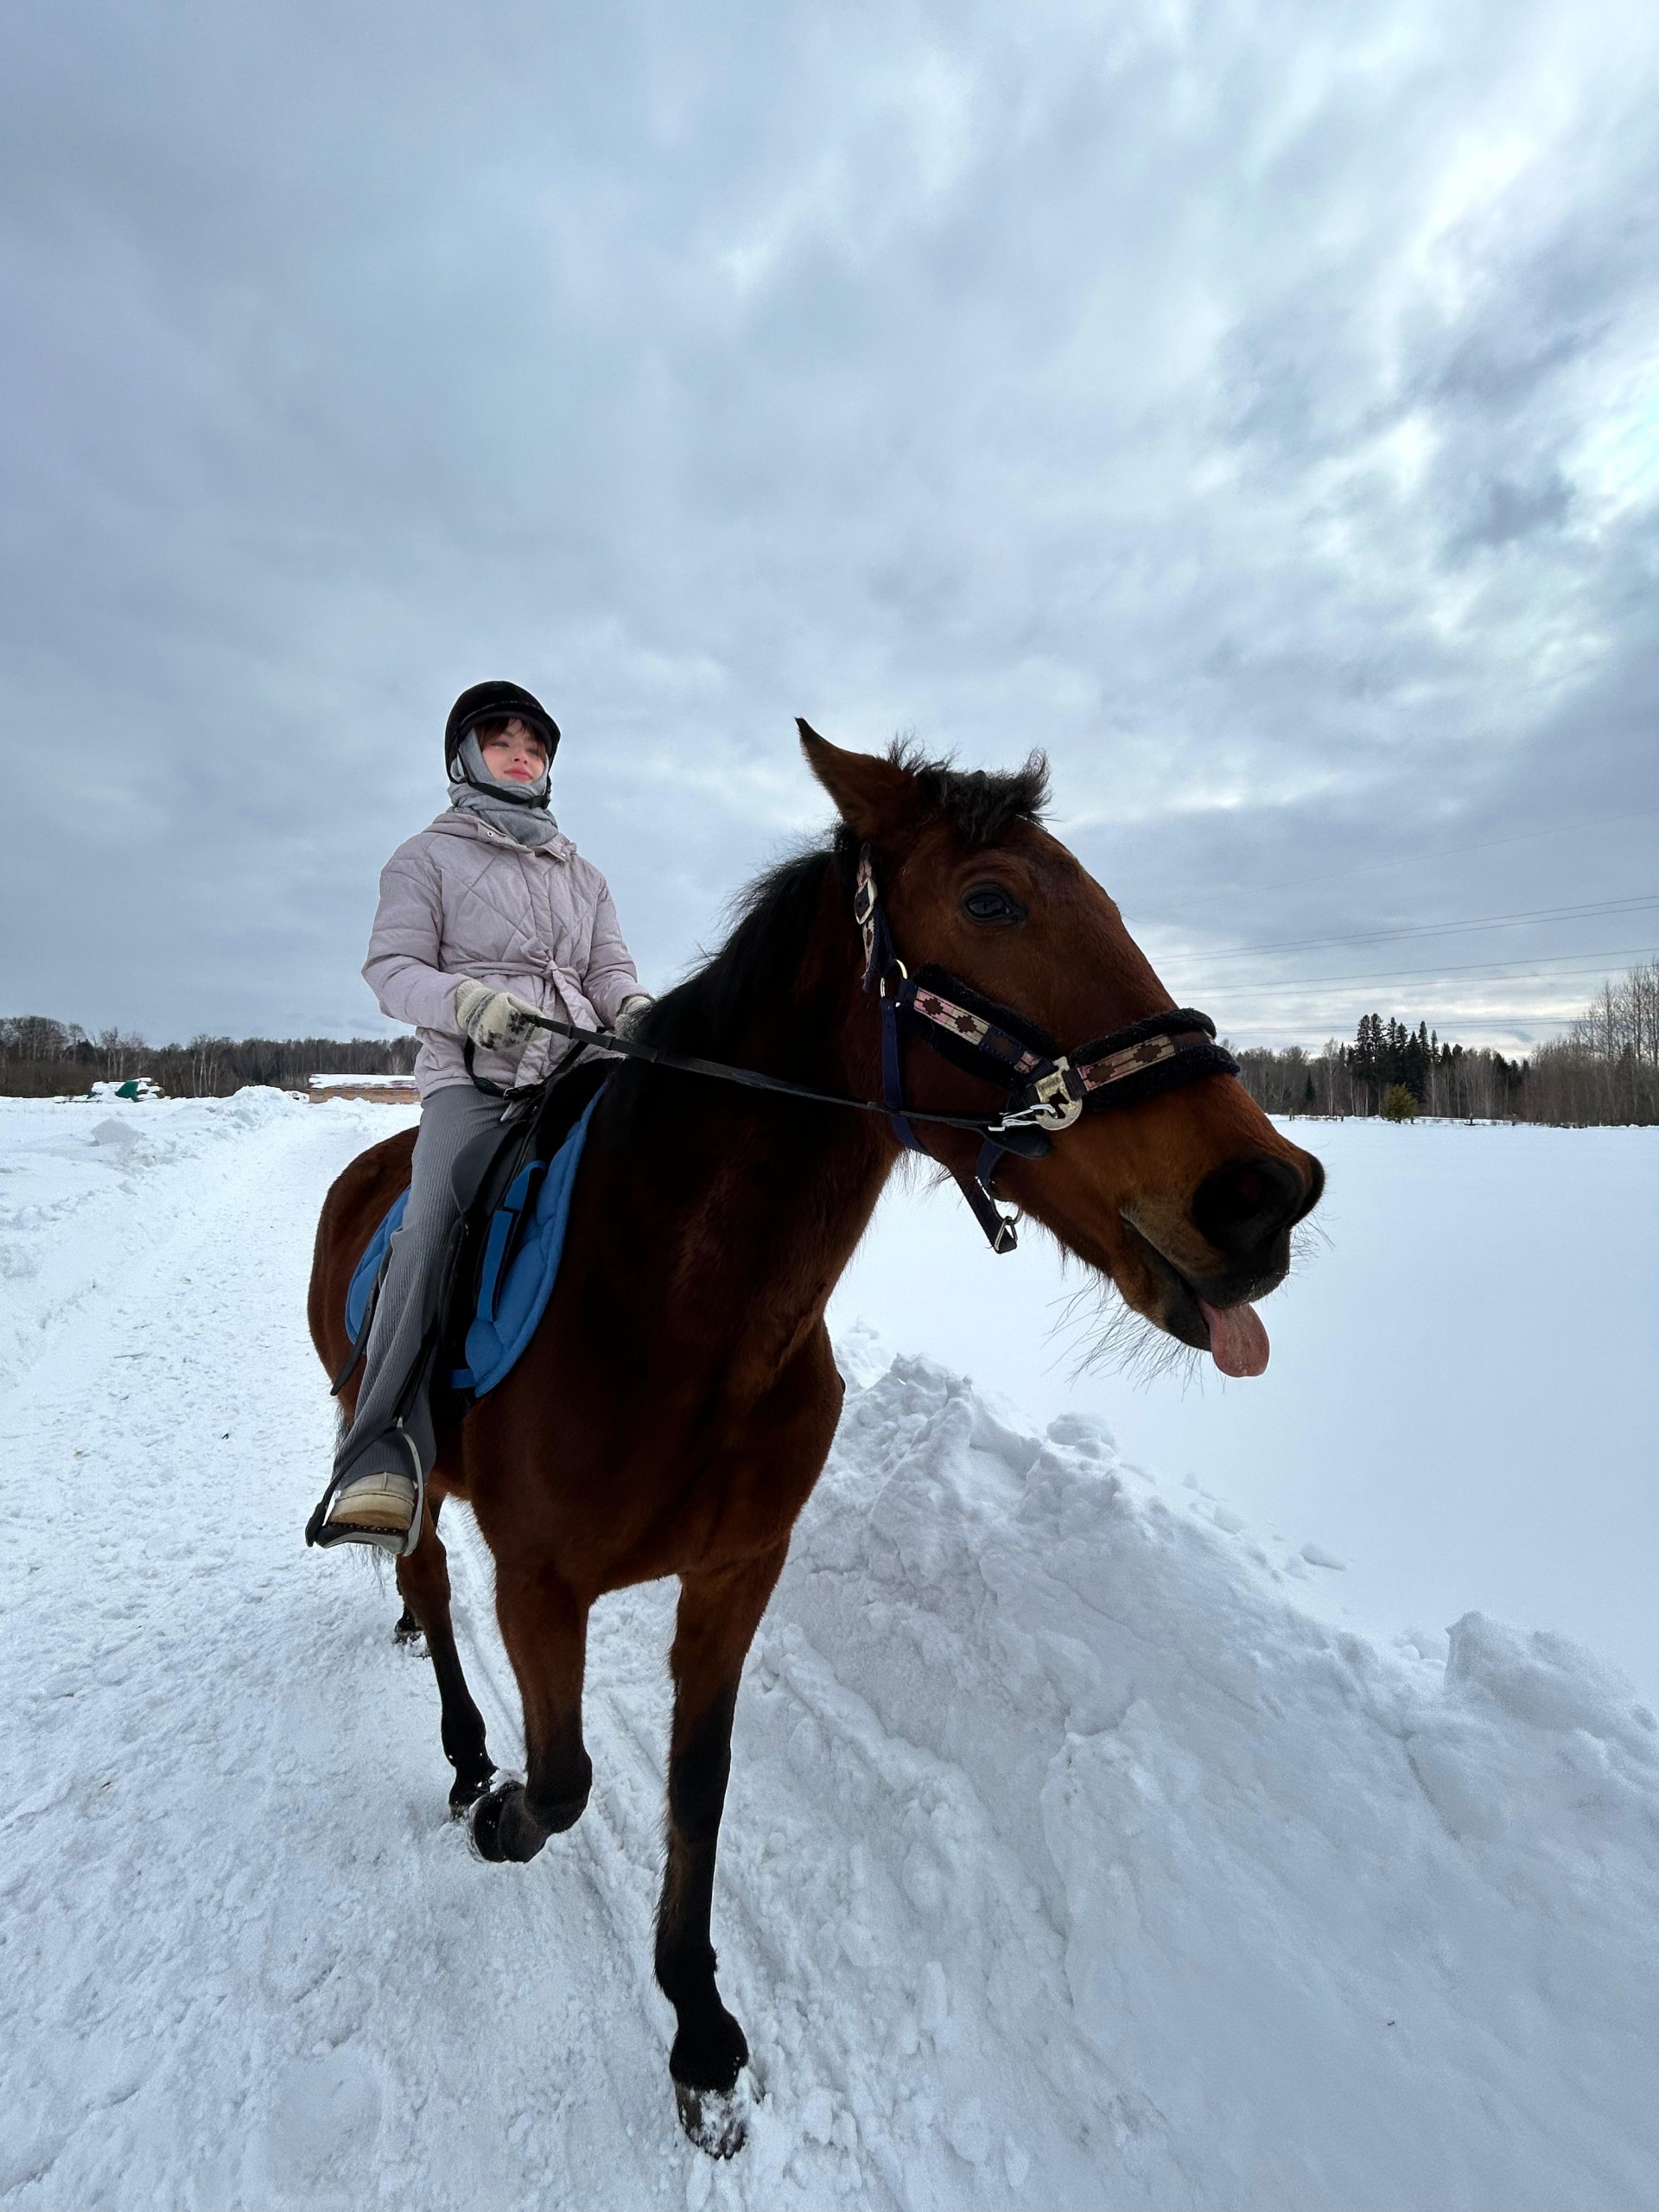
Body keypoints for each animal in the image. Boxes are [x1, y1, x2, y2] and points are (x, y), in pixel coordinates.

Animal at [309, 734, 1327, 2150]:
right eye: (994, 900)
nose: (1265, 1195)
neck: (670, 1313)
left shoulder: (737, 1573)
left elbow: (697, 1784)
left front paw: (698, 2026)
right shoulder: (542, 1583)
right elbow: (563, 1781)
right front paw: (504, 1810)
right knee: (427, 1577)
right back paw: (466, 1760)